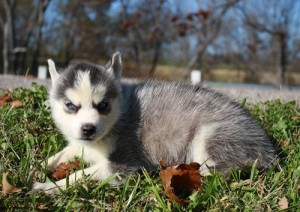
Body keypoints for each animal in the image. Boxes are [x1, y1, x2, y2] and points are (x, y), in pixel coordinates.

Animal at [32, 51, 274, 194]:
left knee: (224, 168)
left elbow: (81, 174)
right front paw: (34, 168)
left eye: (103, 105)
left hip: (212, 135)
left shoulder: (124, 164)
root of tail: (268, 150)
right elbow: (61, 154)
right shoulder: (79, 145)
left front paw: (49, 186)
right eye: (70, 106)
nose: (88, 129)